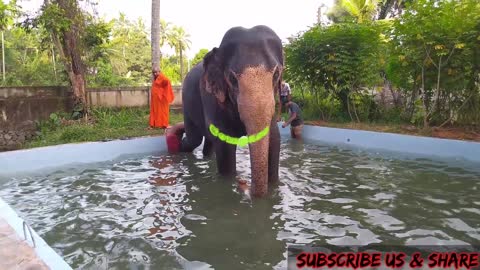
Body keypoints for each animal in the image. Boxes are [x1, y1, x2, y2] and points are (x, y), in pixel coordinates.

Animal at [167, 25, 284, 197]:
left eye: (276, 74)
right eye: (233, 78)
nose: (243, 184)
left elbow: (275, 139)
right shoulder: (212, 97)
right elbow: (224, 143)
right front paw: (229, 183)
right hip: (186, 104)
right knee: (194, 139)